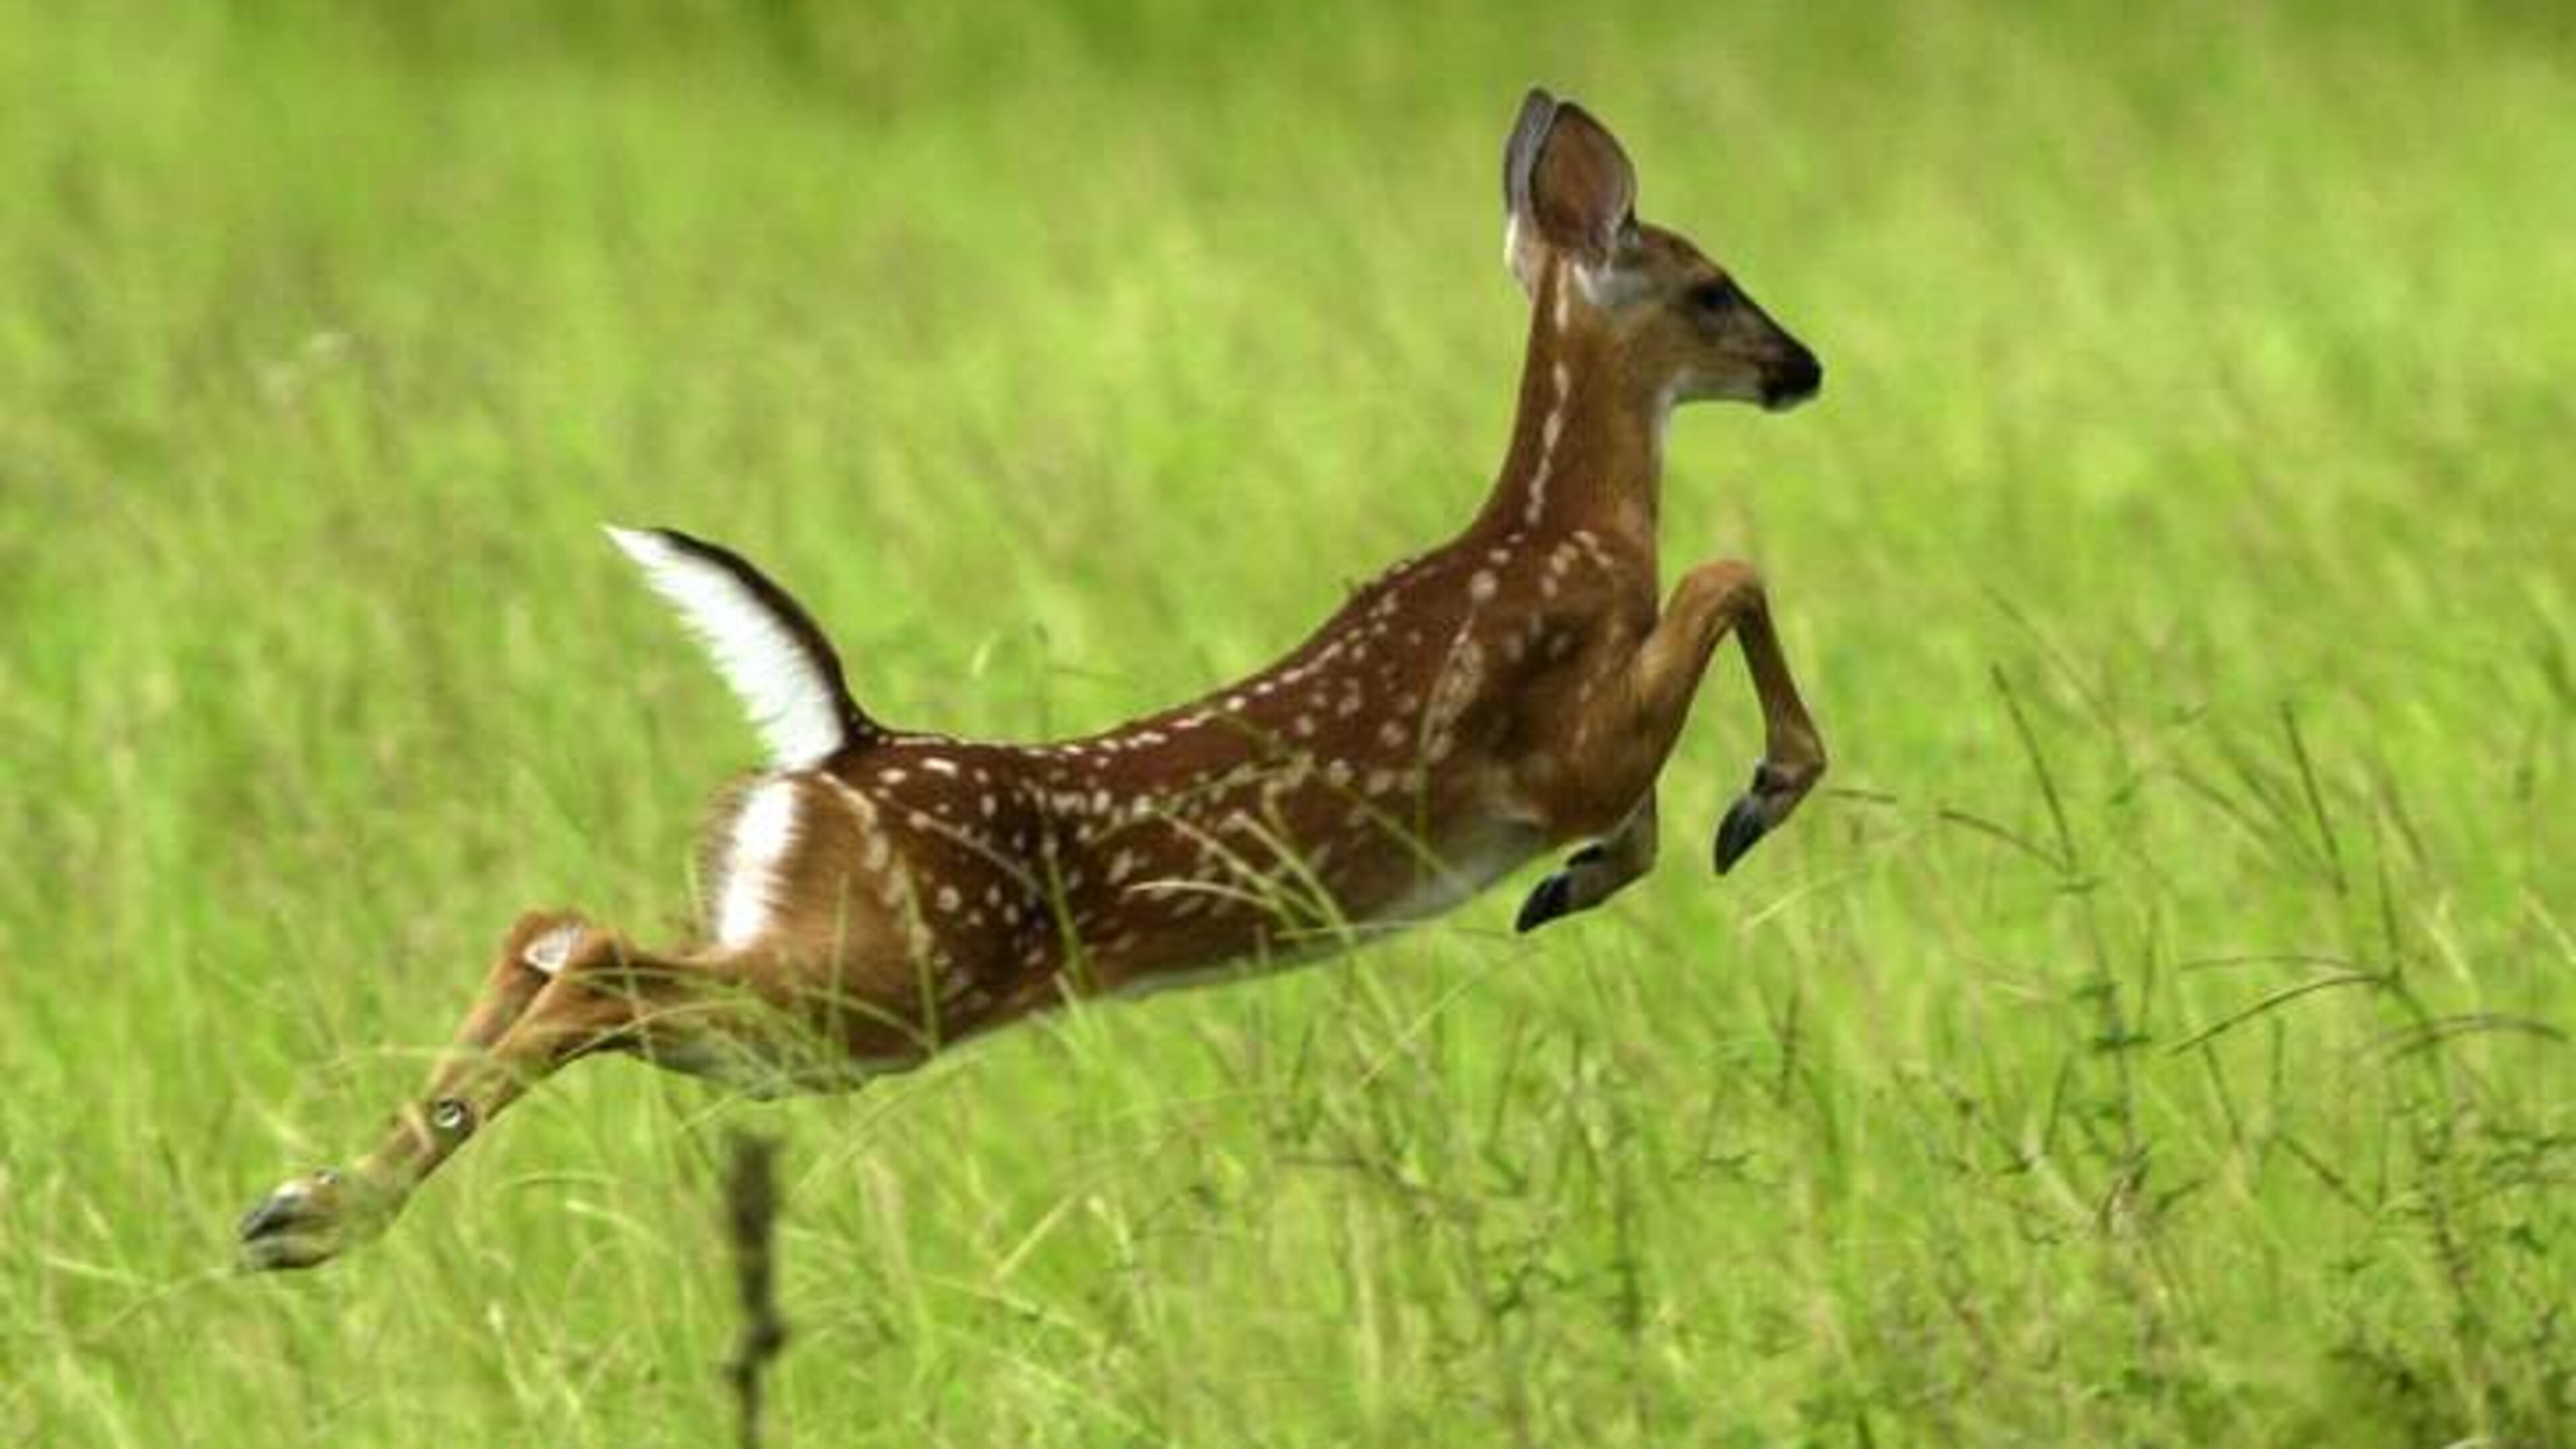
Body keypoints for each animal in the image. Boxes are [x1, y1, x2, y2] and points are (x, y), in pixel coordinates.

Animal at [237, 89, 1828, 1270]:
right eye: (1711, 285)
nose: (1801, 366)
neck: (1563, 532)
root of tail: (840, 743)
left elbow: (1691, 660)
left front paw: (1600, 873)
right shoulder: (1549, 747)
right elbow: (1725, 578)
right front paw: (1749, 802)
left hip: (811, 987)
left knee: (549, 926)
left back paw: (302, 1203)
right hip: (879, 991)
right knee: (597, 965)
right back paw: (318, 1214)